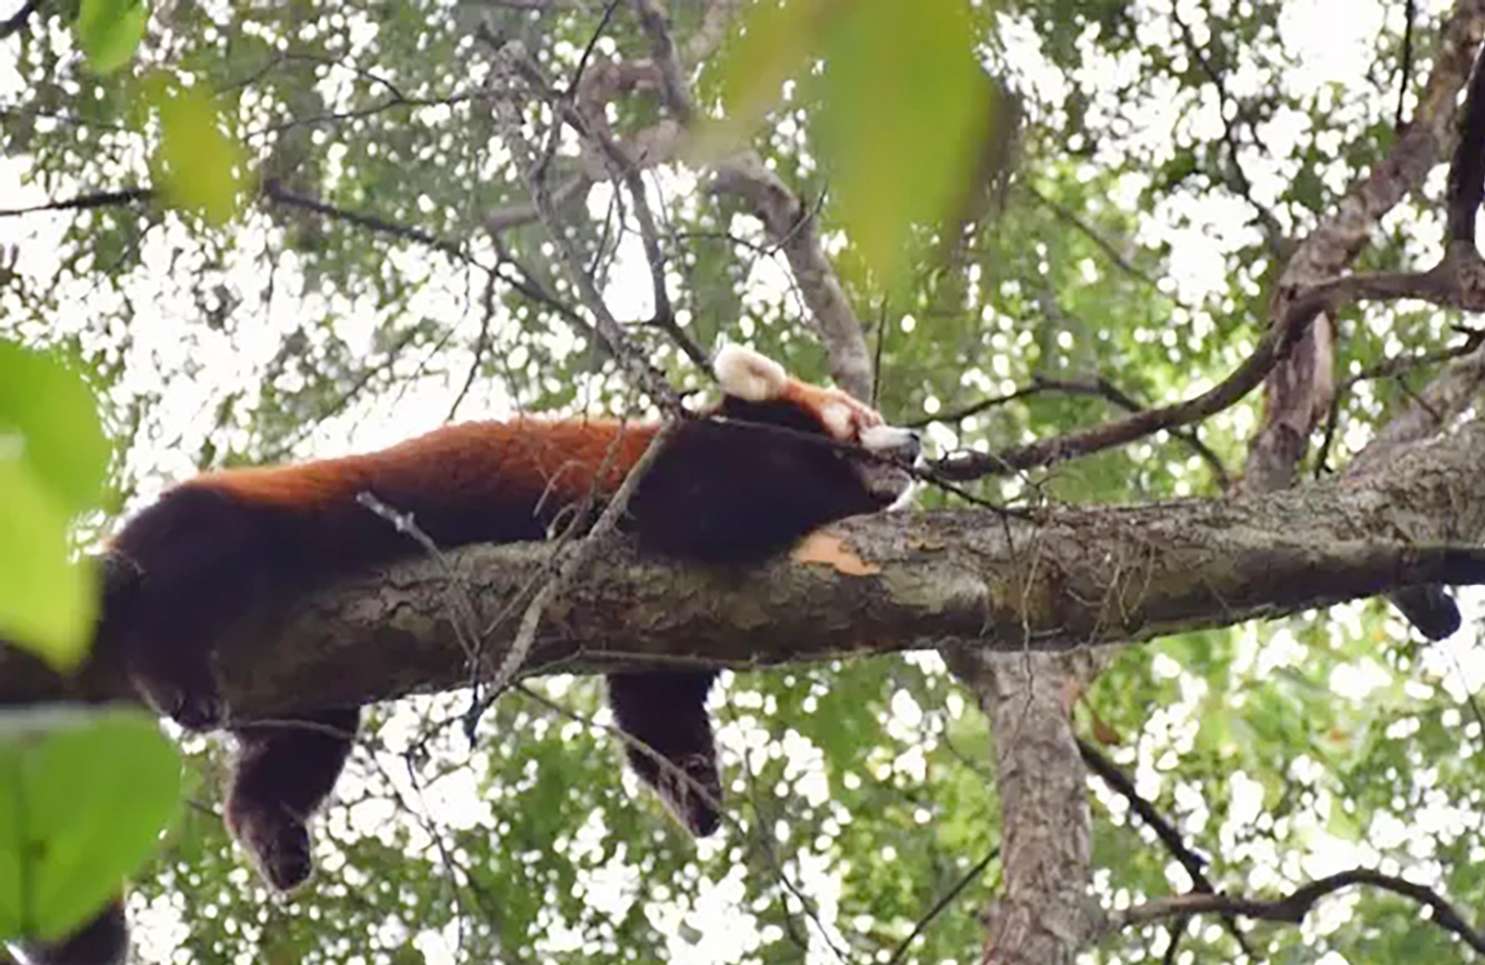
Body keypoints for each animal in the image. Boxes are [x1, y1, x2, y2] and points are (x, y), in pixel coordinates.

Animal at [26, 347, 914, 962]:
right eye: (855, 413)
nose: (914, 438)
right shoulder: (670, 478)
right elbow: (723, 508)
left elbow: (654, 705)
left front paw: (693, 789)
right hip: (238, 534)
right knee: (179, 579)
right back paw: (171, 670)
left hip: (313, 668)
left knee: (299, 745)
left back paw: (272, 832)